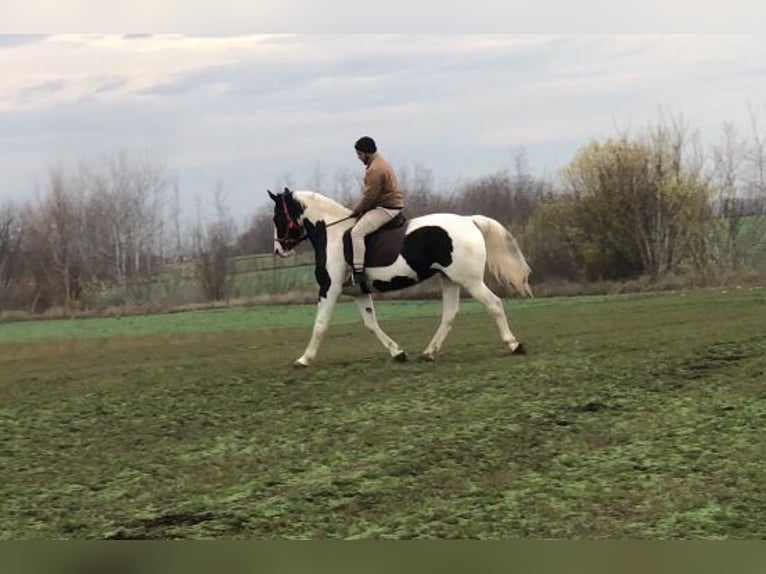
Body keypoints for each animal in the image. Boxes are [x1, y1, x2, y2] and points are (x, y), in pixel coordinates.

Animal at [269, 187, 533, 366]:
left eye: (276, 217)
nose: (278, 250)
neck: (332, 234)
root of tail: (469, 220)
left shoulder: (329, 289)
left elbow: (320, 324)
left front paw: (304, 359)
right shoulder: (359, 293)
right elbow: (371, 323)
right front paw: (398, 353)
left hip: (471, 281)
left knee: (494, 304)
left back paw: (514, 344)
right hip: (450, 280)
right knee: (449, 314)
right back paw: (429, 352)